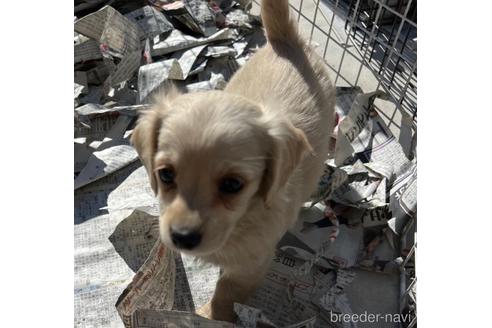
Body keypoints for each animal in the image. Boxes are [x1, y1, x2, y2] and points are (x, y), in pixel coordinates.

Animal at [133, 0, 336, 322]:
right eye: (165, 175)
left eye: (232, 185)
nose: (182, 238)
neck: (243, 219)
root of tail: (284, 41)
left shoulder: (251, 264)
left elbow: (227, 292)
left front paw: (209, 315)